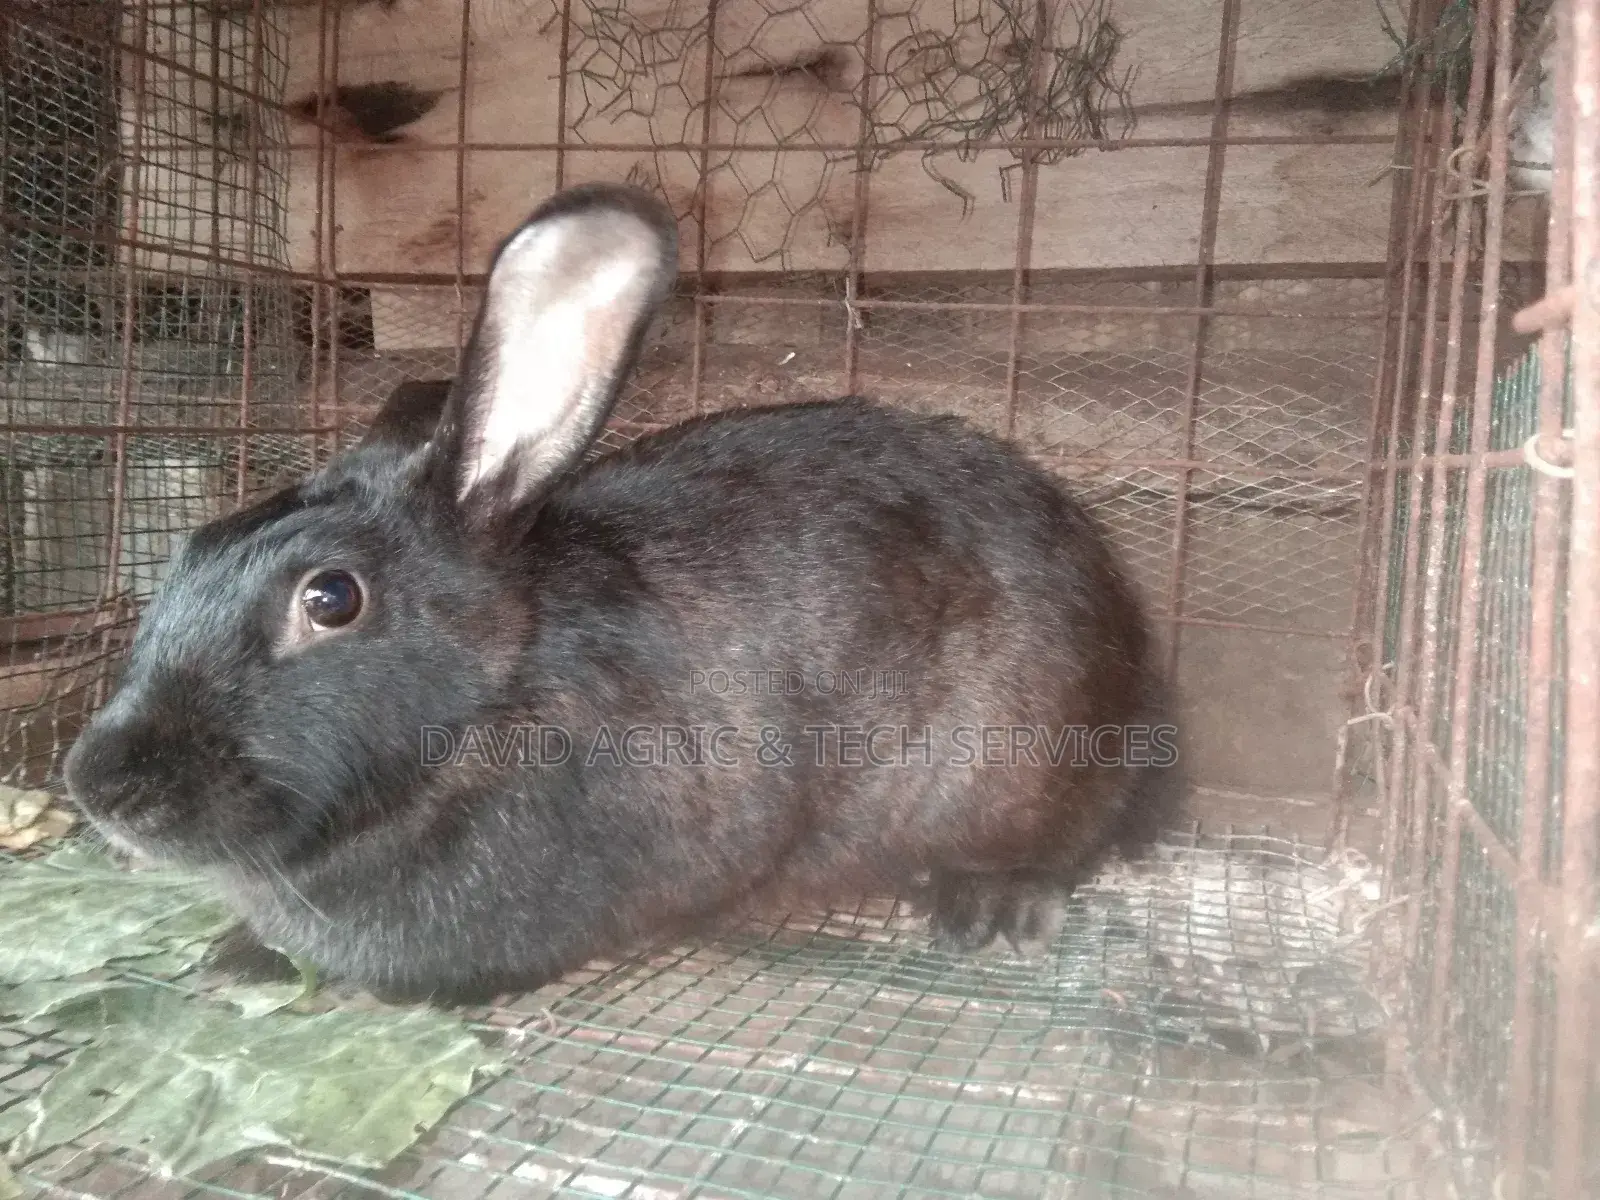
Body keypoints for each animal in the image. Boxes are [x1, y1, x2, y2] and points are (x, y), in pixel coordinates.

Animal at [64, 182, 1182, 1006]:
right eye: (188, 552)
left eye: (331, 598)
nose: (98, 784)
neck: (486, 709)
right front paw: (239, 956)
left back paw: (990, 906)